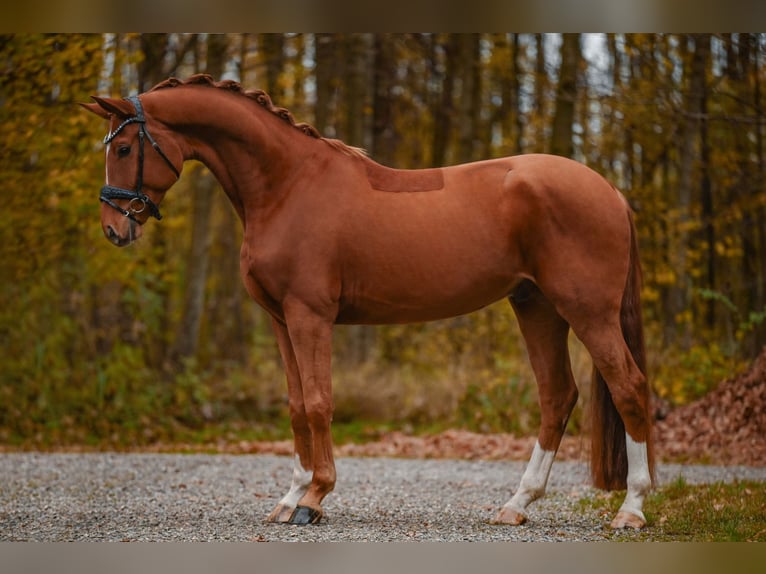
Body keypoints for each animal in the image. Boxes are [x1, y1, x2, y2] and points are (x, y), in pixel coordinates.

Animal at [85, 75, 660, 532]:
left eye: (125, 148)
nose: (113, 230)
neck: (287, 184)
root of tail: (609, 190)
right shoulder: (279, 320)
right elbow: (295, 405)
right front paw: (290, 496)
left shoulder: (310, 316)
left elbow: (319, 403)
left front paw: (315, 498)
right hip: (536, 306)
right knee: (557, 397)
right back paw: (517, 504)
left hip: (587, 311)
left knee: (629, 388)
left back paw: (631, 509)